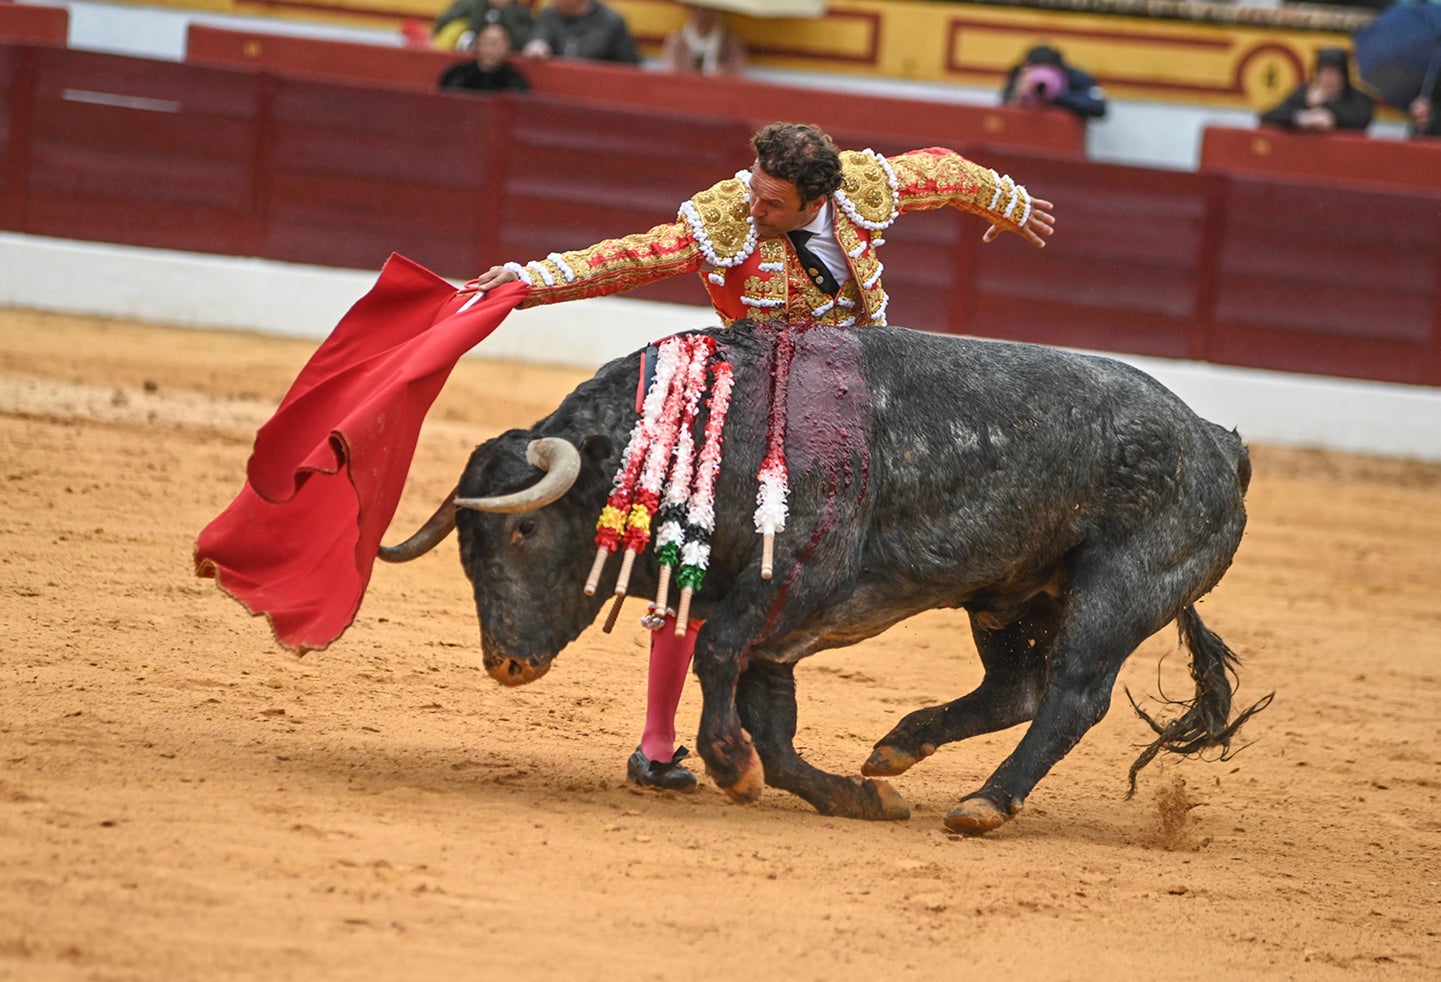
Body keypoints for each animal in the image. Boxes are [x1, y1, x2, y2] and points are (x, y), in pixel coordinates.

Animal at [377, 317, 1268, 830]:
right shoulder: (781, 622)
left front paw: (727, 765)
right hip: (1010, 597)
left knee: (1073, 695)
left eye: (524, 528)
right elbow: (770, 720)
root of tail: (1217, 441)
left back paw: (985, 803)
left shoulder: (796, 582)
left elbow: (718, 659)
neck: (713, 426)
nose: (505, 663)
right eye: (466, 552)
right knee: (1015, 686)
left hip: (1117, 590)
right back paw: (896, 750)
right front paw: (851, 796)